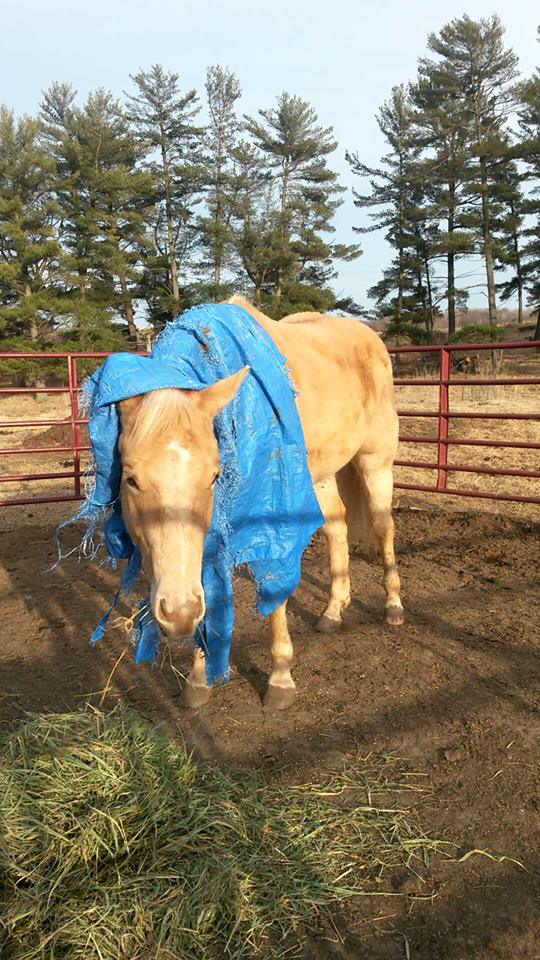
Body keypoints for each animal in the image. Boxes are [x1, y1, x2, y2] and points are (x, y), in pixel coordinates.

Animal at [118, 297, 403, 711]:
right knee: (337, 528)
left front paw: (280, 679)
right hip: (321, 476)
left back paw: (394, 607)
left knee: (383, 527)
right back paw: (333, 611)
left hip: (375, 461)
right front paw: (198, 680)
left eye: (214, 476)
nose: (176, 613)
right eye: (131, 479)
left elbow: (273, 592)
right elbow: (206, 585)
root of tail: (371, 339)